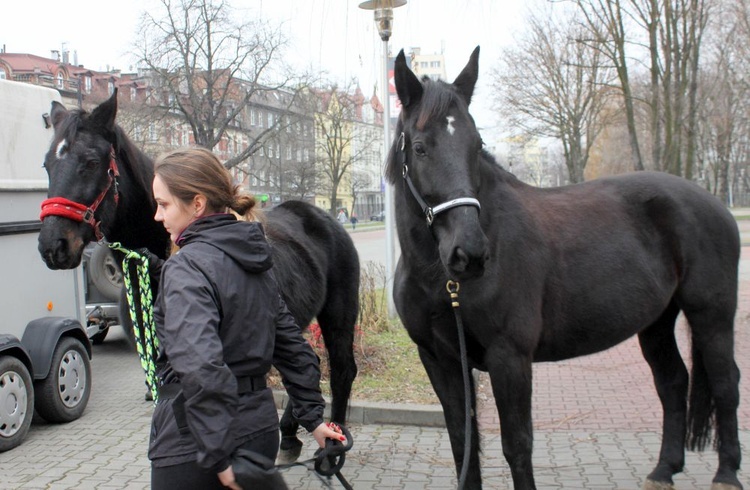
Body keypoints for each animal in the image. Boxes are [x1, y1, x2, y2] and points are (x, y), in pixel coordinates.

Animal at [36, 92, 360, 464]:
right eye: (47, 165)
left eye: (90, 162)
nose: (53, 246)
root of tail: (325, 218)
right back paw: (291, 435)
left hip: (338, 313)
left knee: (341, 368)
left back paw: (332, 447)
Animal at [390, 47, 744, 490]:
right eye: (420, 147)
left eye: (477, 144)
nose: (469, 253)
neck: (437, 279)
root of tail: (713, 203)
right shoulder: (440, 360)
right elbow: (462, 446)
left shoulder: (510, 358)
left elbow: (517, 446)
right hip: (658, 321)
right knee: (673, 382)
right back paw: (664, 470)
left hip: (711, 315)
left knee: (726, 383)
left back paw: (726, 474)